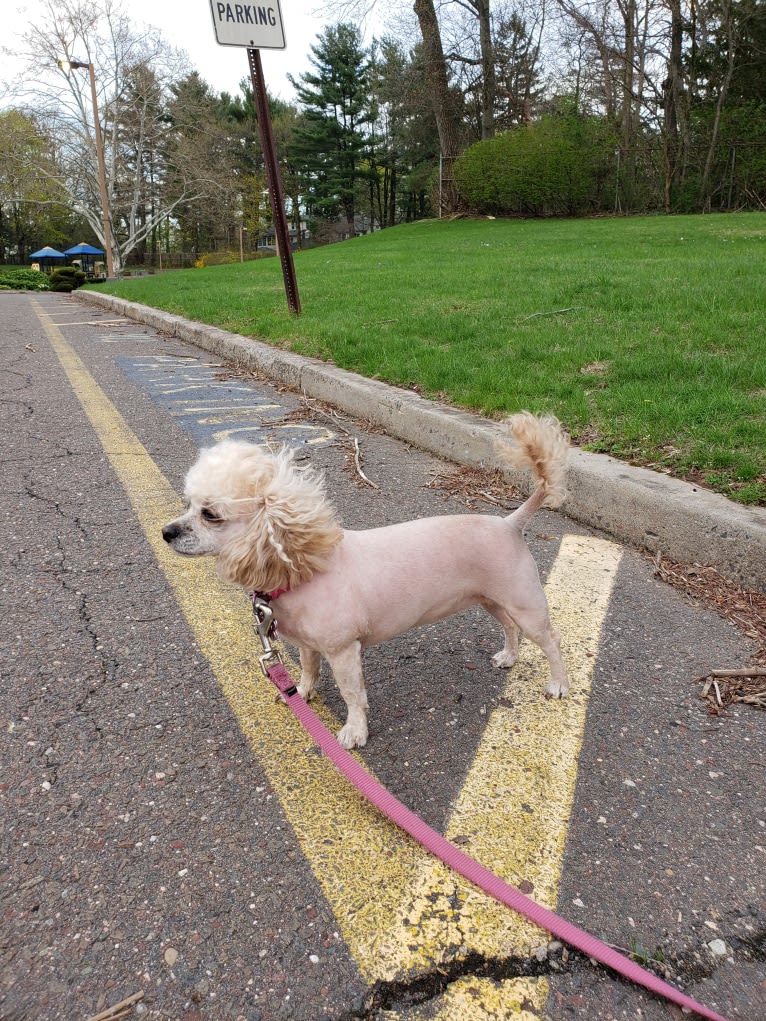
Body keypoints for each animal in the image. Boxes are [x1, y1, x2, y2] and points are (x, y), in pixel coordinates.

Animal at [162, 410, 571, 747]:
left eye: (209, 514)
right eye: (188, 504)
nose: (166, 532)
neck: (303, 565)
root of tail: (511, 522)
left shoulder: (344, 651)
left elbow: (352, 695)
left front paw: (355, 731)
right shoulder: (309, 646)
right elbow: (308, 671)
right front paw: (301, 694)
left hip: (526, 606)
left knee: (551, 641)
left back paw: (558, 684)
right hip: (492, 601)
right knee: (509, 627)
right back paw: (509, 656)